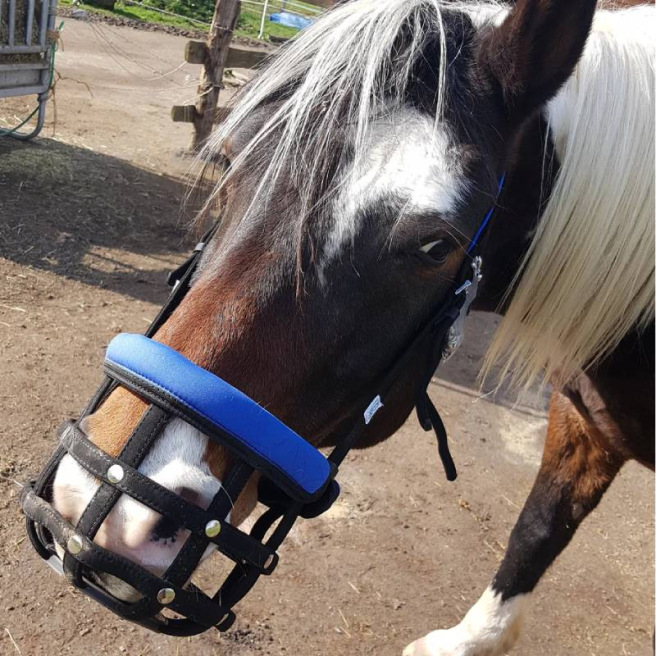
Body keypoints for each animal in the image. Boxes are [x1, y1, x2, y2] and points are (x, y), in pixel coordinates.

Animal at [48, 0, 654, 653]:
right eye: (229, 163)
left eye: (437, 247)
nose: (105, 502)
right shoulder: (582, 421)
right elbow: (541, 525)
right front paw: (470, 640)